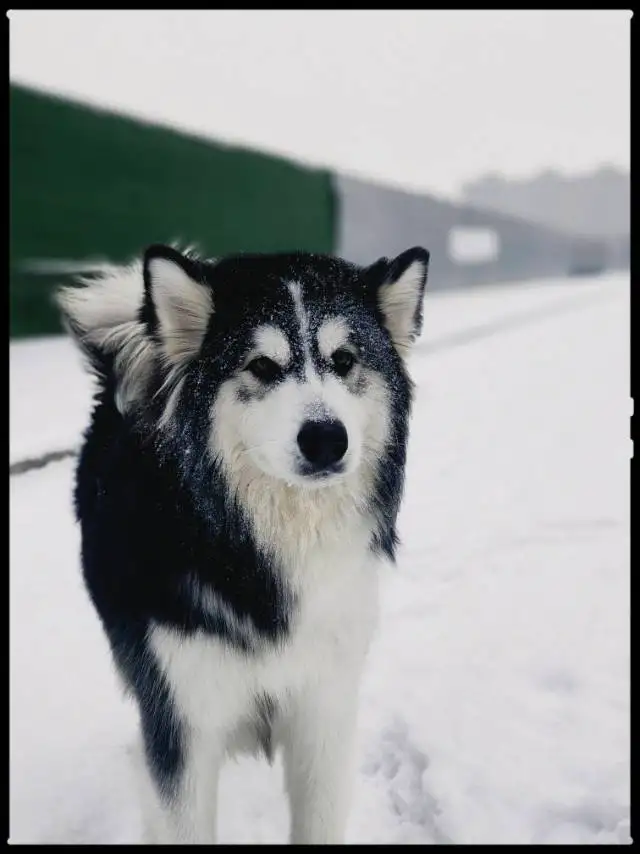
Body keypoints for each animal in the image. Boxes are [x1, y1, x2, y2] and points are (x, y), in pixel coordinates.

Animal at [57, 244, 430, 844]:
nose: (326, 439)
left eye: (344, 360)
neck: (263, 549)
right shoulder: (182, 717)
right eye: (261, 366)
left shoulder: (322, 707)